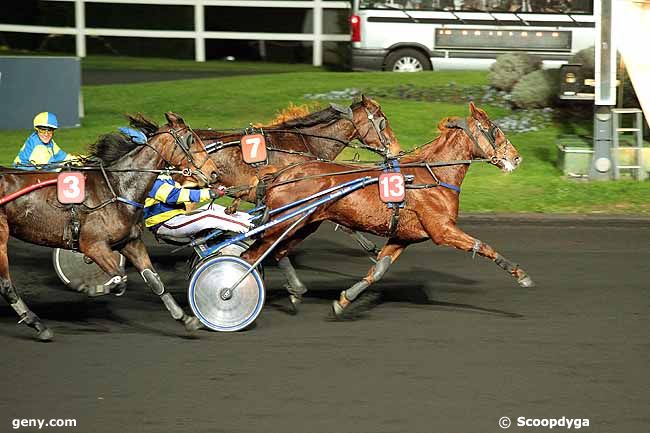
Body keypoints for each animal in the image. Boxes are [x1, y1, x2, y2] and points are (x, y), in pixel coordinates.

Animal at [0, 110, 219, 338]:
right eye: (191, 139)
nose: (214, 172)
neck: (116, 188)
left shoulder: (130, 242)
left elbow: (155, 282)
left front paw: (186, 318)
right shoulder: (93, 245)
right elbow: (119, 280)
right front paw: (85, 286)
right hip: (1, 236)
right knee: (6, 285)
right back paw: (38, 324)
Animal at [240, 103, 536, 316]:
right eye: (493, 129)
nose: (517, 157)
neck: (431, 176)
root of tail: (281, 174)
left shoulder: (403, 236)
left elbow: (379, 270)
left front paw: (344, 301)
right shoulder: (442, 230)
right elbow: (482, 245)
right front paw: (521, 274)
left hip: (304, 224)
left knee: (277, 251)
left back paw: (295, 291)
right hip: (285, 222)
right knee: (250, 254)